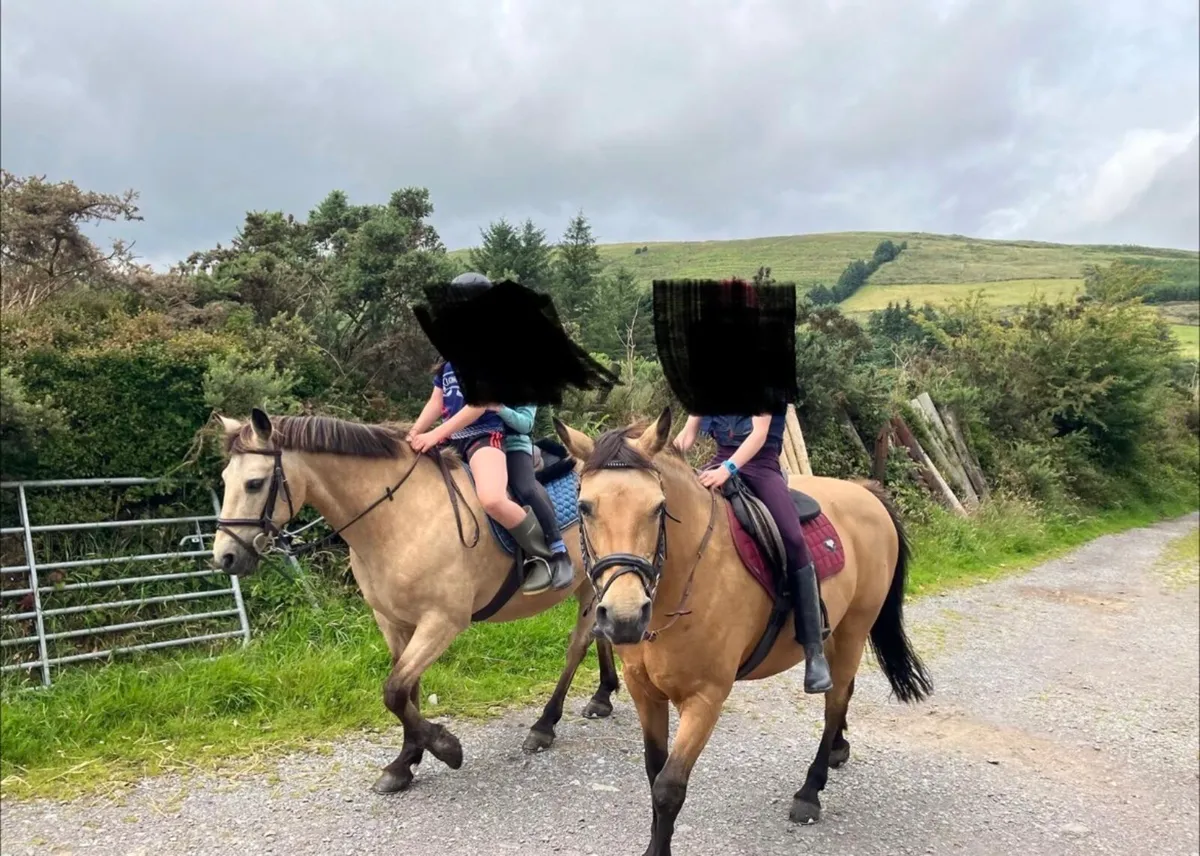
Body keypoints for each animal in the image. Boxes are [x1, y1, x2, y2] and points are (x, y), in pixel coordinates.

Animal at [211, 408, 620, 794]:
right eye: (225, 481)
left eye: (254, 483)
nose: (225, 557)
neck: (399, 516)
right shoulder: (393, 621)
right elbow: (407, 691)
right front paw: (405, 762)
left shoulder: (441, 622)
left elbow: (393, 692)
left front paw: (444, 747)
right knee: (599, 634)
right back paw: (602, 695)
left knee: (577, 646)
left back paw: (544, 725)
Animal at [554, 408, 932, 856]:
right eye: (584, 507)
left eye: (658, 507)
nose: (625, 617)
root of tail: (865, 492)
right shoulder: (644, 690)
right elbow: (652, 772)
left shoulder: (706, 699)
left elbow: (668, 788)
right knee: (845, 692)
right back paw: (839, 749)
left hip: (855, 629)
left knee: (835, 700)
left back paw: (810, 790)